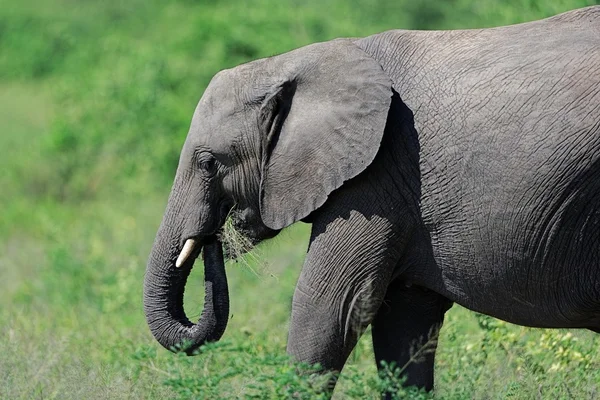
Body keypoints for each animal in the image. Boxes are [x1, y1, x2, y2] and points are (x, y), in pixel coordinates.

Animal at [144, 6, 600, 392]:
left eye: (208, 163)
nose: (213, 241)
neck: (297, 61)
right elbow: (404, 326)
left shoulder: (378, 175)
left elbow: (329, 307)